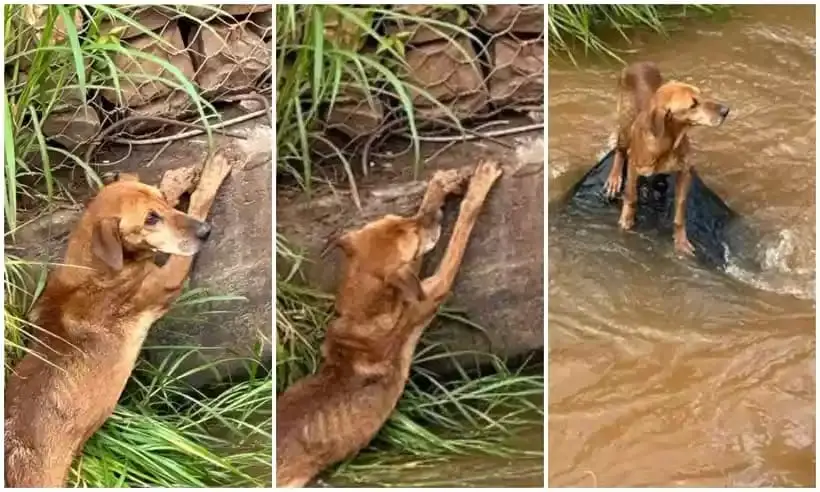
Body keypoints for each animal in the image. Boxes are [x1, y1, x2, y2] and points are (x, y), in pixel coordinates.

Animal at [5, 148, 237, 486]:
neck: (95, 266)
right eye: (150, 219)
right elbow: (198, 207)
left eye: (161, 205)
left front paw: (178, 179)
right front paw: (209, 178)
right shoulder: (165, 279)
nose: (205, 232)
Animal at [278, 160, 502, 484]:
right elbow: (460, 232)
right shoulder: (427, 296)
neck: (364, 311)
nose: (435, 218)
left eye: (404, 220)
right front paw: (478, 187)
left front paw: (441, 186)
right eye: (416, 240)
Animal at [604, 61, 732, 254]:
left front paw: (681, 241)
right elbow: (631, 196)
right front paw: (626, 221)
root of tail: (637, 64)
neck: (668, 141)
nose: (726, 110)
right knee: (620, 151)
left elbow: (680, 212)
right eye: (693, 104)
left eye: (701, 95)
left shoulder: (685, 172)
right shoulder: (634, 165)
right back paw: (614, 178)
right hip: (625, 123)